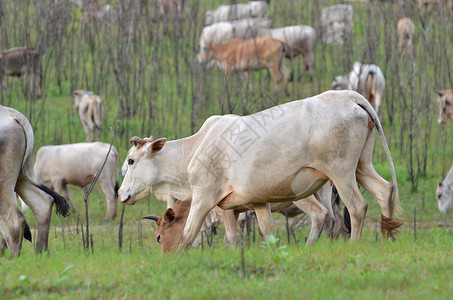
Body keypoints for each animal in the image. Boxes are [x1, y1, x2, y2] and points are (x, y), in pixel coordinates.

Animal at [0, 104, 69, 256]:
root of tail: (13, 114)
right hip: (21, 177)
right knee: (44, 204)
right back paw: (41, 253)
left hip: (4, 183)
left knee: (14, 222)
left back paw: (13, 259)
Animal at [118, 90, 400, 252]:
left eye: (131, 161)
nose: (120, 194)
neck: (197, 146)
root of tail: (349, 96)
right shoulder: (256, 201)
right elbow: (267, 232)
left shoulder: (206, 198)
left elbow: (190, 235)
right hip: (362, 166)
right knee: (384, 190)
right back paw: (388, 238)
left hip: (340, 172)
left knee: (356, 207)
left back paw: (352, 246)